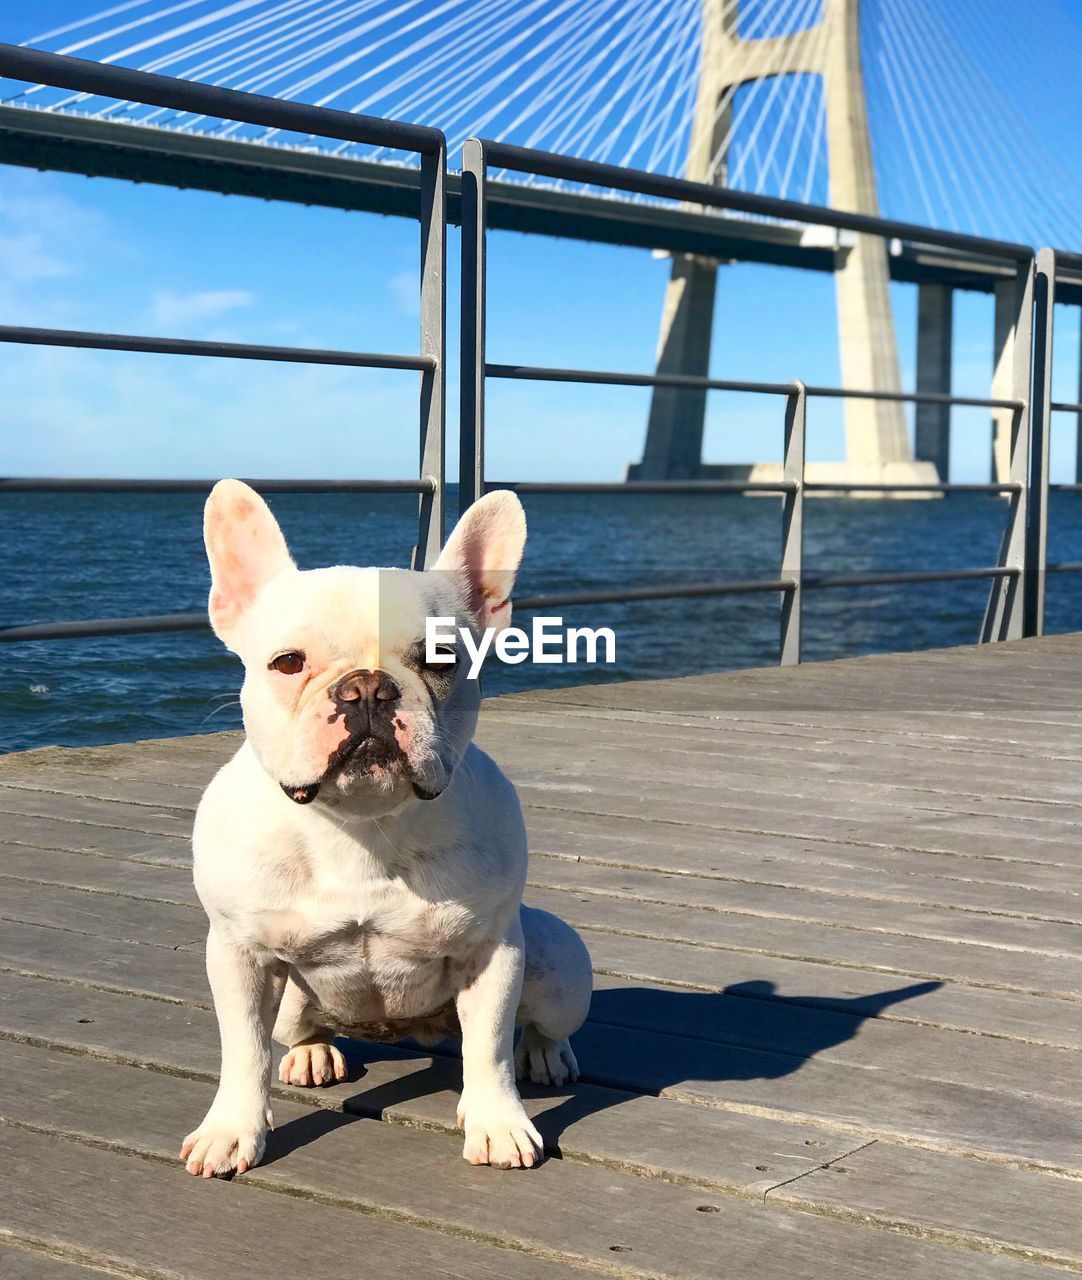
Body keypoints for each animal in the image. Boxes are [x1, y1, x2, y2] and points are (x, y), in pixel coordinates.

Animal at [183, 481, 594, 1177]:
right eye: (287, 662)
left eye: (441, 659)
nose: (367, 689)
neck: (362, 827)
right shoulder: (238, 952)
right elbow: (242, 1050)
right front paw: (231, 1131)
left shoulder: (493, 952)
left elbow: (490, 1046)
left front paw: (497, 1123)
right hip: (290, 1001)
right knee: (295, 1029)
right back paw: (312, 1053)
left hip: (558, 962)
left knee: (531, 1026)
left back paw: (545, 1055)